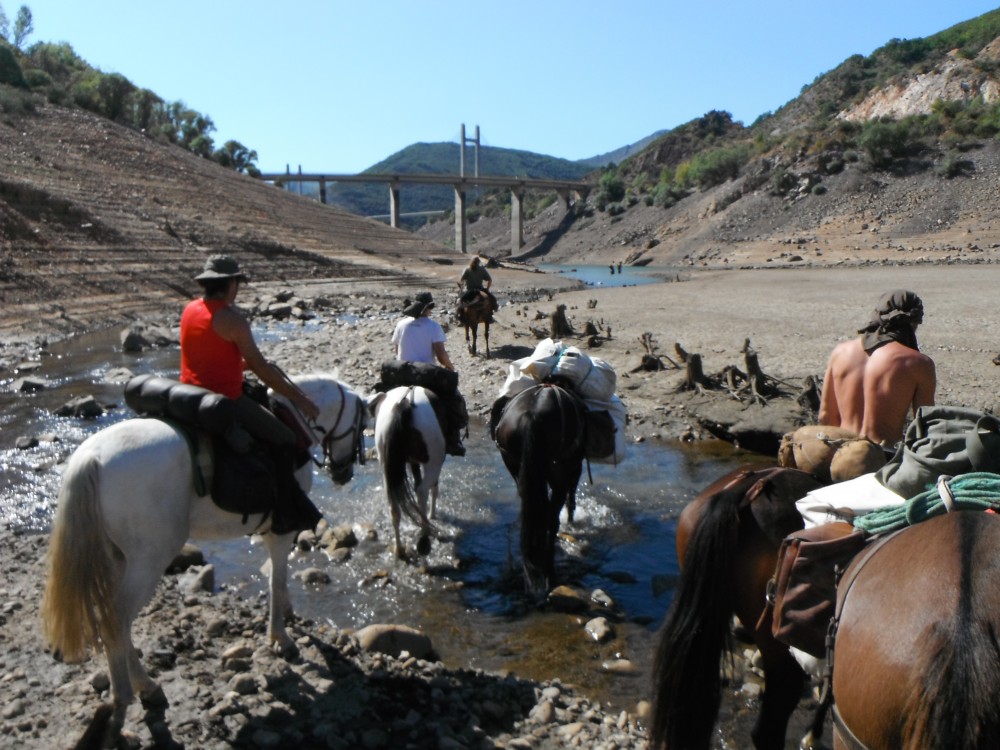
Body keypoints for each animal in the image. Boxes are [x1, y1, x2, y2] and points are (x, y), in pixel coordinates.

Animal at [42, 376, 368, 748]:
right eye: (361, 425)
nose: (343, 473)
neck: (294, 419)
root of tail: (91, 458)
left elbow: (278, 577)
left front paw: (287, 614)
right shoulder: (281, 530)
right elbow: (277, 578)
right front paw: (281, 638)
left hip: (117, 558)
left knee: (114, 621)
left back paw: (146, 688)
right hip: (148, 560)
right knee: (117, 622)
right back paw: (130, 695)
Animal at [368, 388, 446, 560]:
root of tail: (403, 404)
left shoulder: (412, 462)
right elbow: (433, 488)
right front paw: (432, 514)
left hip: (386, 468)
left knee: (394, 506)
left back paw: (399, 549)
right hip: (433, 462)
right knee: (422, 491)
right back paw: (424, 533)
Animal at [492, 384, 584, 596]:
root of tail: (532, 415)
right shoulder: (575, 466)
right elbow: (571, 499)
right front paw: (571, 523)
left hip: (513, 462)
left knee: (532, 504)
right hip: (558, 470)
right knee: (550, 516)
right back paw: (549, 572)